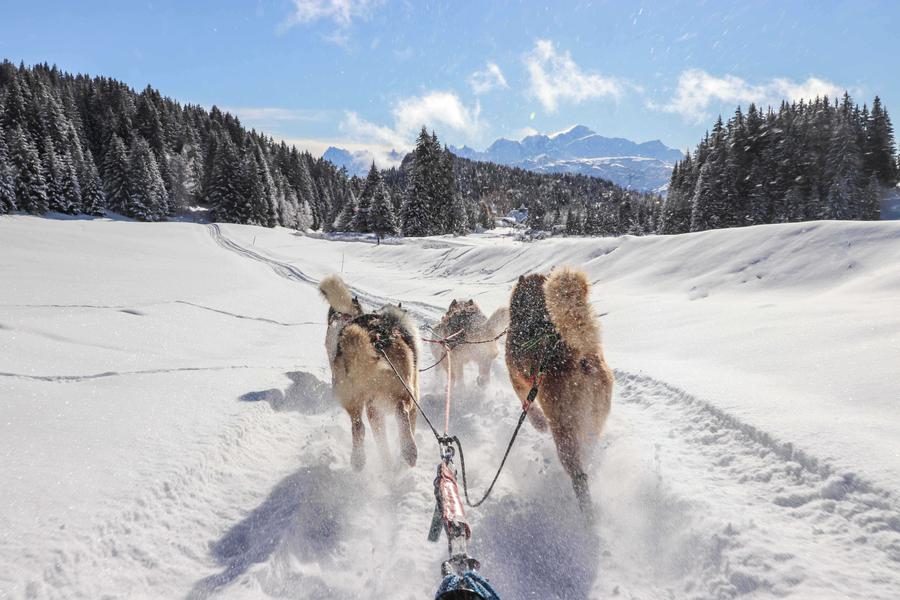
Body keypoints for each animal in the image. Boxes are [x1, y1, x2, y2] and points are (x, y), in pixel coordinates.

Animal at [318, 274, 420, 472]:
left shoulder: (374, 410)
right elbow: (411, 422)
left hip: (352, 397)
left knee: (359, 427)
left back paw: (360, 459)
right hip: (404, 391)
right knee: (401, 412)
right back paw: (409, 451)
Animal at [506, 270, 612, 516]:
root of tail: (583, 357)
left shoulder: (517, 380)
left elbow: (528, 407)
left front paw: (539, 424)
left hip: (565, 432)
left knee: (578, 476)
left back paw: (587, 514)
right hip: (592, 424)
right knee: (588, 452)